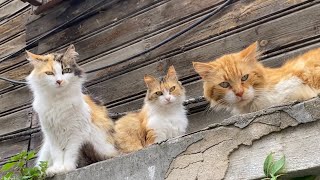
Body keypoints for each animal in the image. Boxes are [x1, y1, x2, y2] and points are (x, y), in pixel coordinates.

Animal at [25, 44, 117, 176]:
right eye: (49, 73)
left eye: (66, 71)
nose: (59, 81)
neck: (58, 101)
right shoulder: (51, 135)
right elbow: (57, 154)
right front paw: (56, 169)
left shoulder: (76, 132)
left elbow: (70, 152)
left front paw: (67, 168)